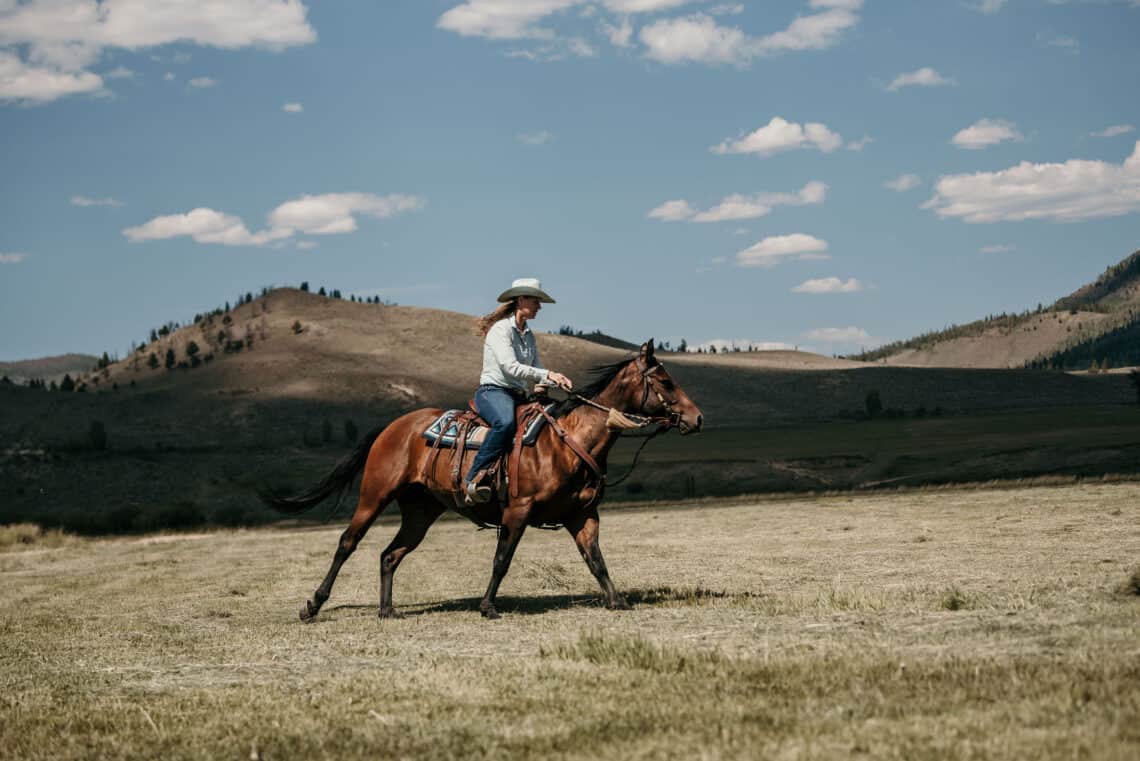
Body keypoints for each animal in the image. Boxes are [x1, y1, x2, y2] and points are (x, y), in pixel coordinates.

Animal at [261, 339, 697, 619]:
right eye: (665, 382)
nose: (697, 418)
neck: (569, 440)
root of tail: (391, 427)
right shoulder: (517, 511)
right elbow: (502, 560)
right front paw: (488, 607)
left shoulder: (583, 515)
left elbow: (596, 561)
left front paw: (617, 601)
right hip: (374, 496)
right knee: (347, 543)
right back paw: (312, 605)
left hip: (420, 510)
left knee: (390, 554)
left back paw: (387, 611)